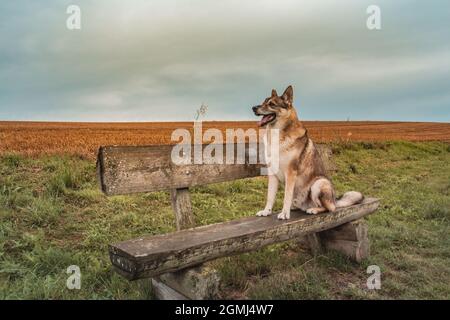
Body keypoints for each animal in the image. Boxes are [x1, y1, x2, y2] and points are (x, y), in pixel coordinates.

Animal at [251, 85, 364, 220]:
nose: (253, 108)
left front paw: (284, 213)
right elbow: (270, 196)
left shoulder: (291, 173)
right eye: (263, 102)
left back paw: (313, 209)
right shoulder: (272, 173)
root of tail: (335, 200)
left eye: (272, 104)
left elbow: (286, 196)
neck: (276, 135)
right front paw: (266, 211)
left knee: (329, 208)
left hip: (319, 184)